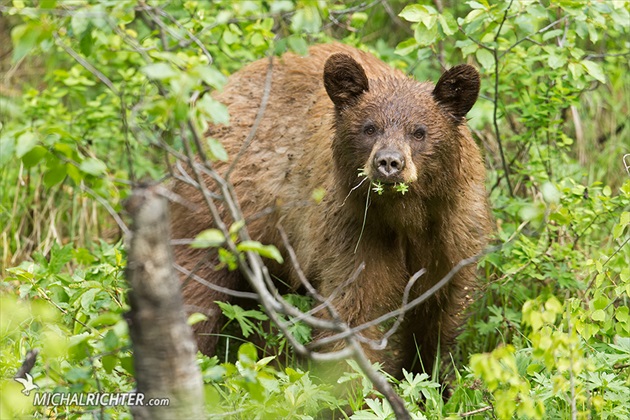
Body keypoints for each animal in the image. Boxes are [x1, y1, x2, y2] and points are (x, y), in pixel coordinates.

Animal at [172, 43, 494, 378]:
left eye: (419, 132)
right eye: (369, 128)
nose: (389, 162)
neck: (406, 217)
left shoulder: (451, 236)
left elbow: (437, 315)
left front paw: (433, 374)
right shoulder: (354, 231)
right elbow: (355, 308)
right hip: (218, 210)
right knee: (196, 284)